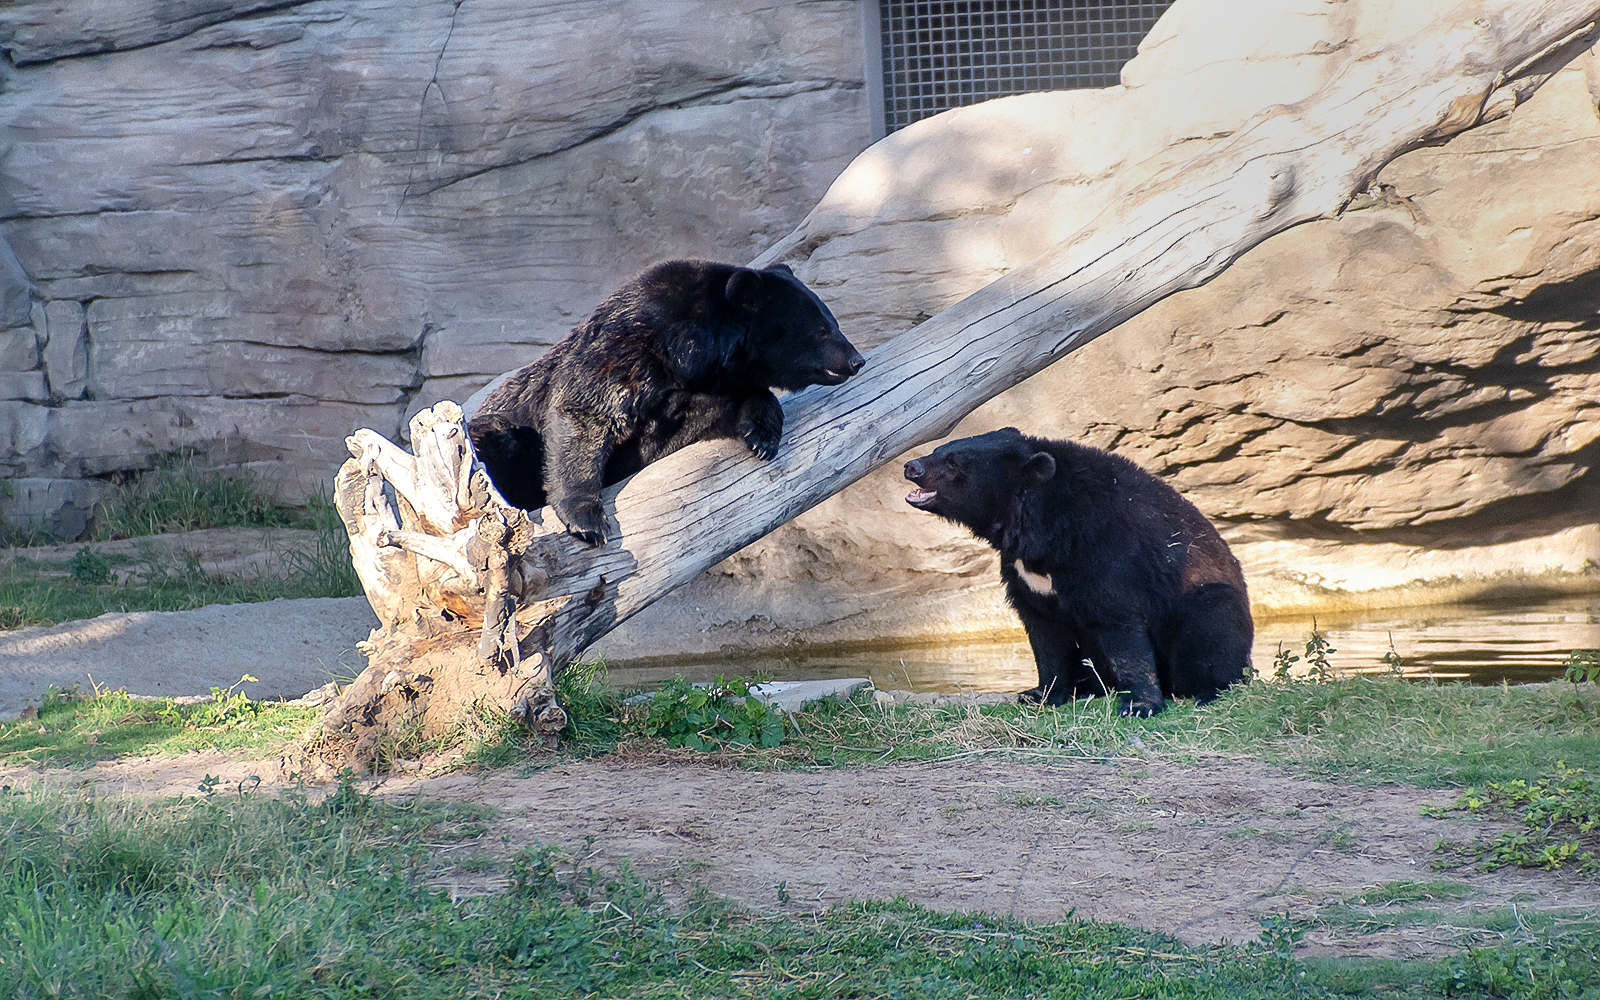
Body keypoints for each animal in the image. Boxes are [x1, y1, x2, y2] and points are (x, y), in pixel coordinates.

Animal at [468, 259, 865, 545]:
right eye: (822, 330)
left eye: (831, 322)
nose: (856, 359)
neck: (690, 353)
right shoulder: (630, 348)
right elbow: (584, 411)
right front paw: (588, 522)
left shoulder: (702, 390)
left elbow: (708, 418)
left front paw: (761, 436)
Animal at [903, 427, 1252, 716]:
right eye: (938, 448)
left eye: (953, 462)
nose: (911, 467)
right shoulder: (1022, 570)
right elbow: (1043, 630)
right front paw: (1040, 694)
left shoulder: (1104, 546)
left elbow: (1119, 621)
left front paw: (1139, 705)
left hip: (1206, 600)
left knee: (1213, 632)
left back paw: (1210, 690)